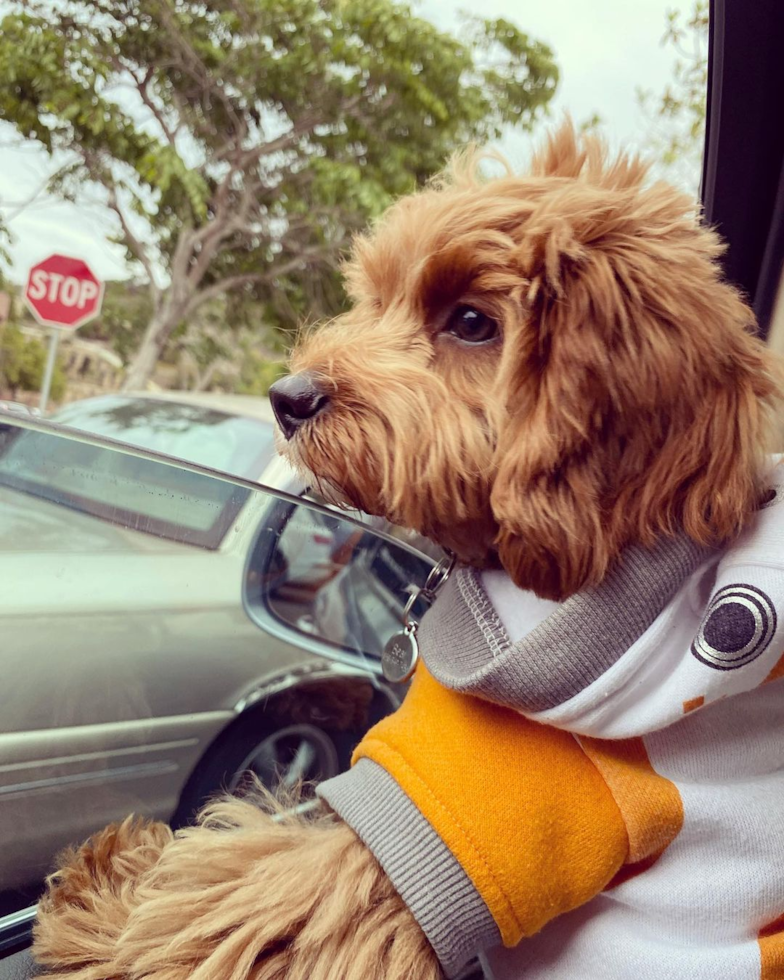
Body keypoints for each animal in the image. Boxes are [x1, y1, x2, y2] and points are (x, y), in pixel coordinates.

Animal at [32, 124, 784, 980]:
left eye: (471, 322)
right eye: (380, 296)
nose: (288, 396)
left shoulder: (446, 822)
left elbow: (233, 905)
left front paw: (102, 890)